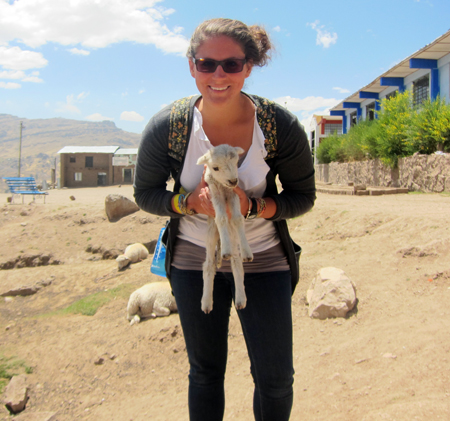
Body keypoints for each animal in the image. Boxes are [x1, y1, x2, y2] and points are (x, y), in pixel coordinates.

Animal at [197, 144, 253, 312]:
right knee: (208, 265)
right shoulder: (214, 192)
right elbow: (221, 218)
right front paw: (226, 251)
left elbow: (237, 219)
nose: (233, 180)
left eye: (236, 162)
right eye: (215, 168)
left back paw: (240, 299)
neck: (223, 187)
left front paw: (247, 252)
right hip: (210, 235)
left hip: (233, 237)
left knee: (236, 261)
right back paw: (206, 302)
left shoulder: (233, 194)